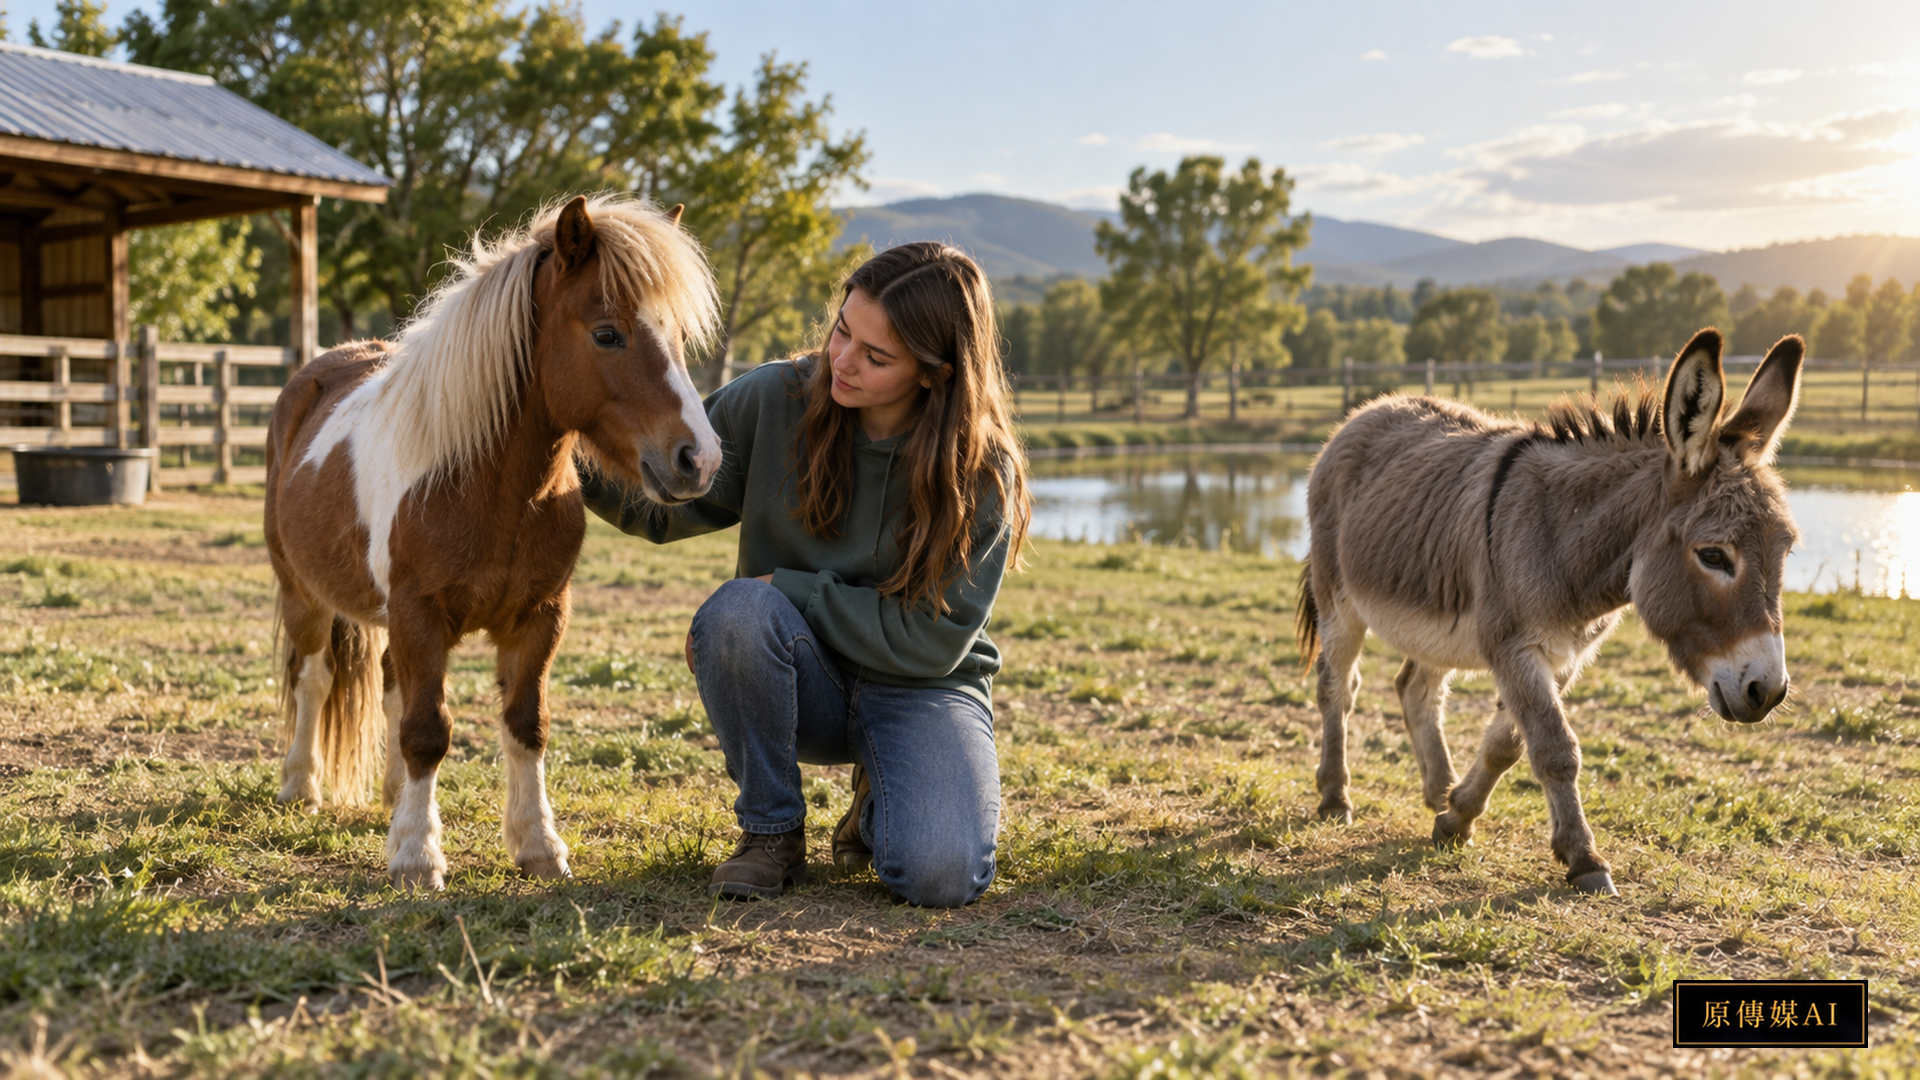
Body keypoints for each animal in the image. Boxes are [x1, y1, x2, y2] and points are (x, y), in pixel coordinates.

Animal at [263, 194, 721, 889]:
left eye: (677, 337)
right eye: (606, 333)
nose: (699, 458)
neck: (487, 485)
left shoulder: (539, 618)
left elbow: (525, 726)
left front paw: (538, 846)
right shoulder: (420, 614)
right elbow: (429, 729)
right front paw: (418, 857)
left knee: (390, 686)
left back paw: (393, 797)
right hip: (304, 595)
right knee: (314, 680)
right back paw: (301, 787)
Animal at [1296, 329, 1802, 895]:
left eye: (1786, 552)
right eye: (1713, 556)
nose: (1768, 692)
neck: (1565, 541)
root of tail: (1369, 408)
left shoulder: (1566, 656)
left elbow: (1509, 744)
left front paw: (1456, 816)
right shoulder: (1514, 647)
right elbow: (1555, 747)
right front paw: (1584, 858)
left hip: (1436, 621)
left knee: (1415, 690)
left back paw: (1438, 787)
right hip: (1338, 600)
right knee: (1337, 688)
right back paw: (1335, 796)